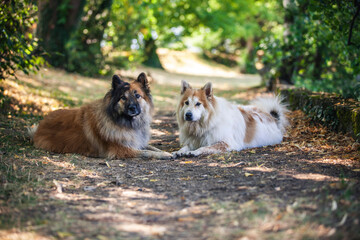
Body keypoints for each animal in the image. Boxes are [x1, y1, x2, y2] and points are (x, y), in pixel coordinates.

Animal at [28, 73, 172, 159]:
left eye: (137, 95)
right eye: (123, 98)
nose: (132, 108)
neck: (125, 122)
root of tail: (39, 126)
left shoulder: (136, 142)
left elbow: (151, 147)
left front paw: (169, 152)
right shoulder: (121, 150)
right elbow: (147, 152)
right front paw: (165, 155)